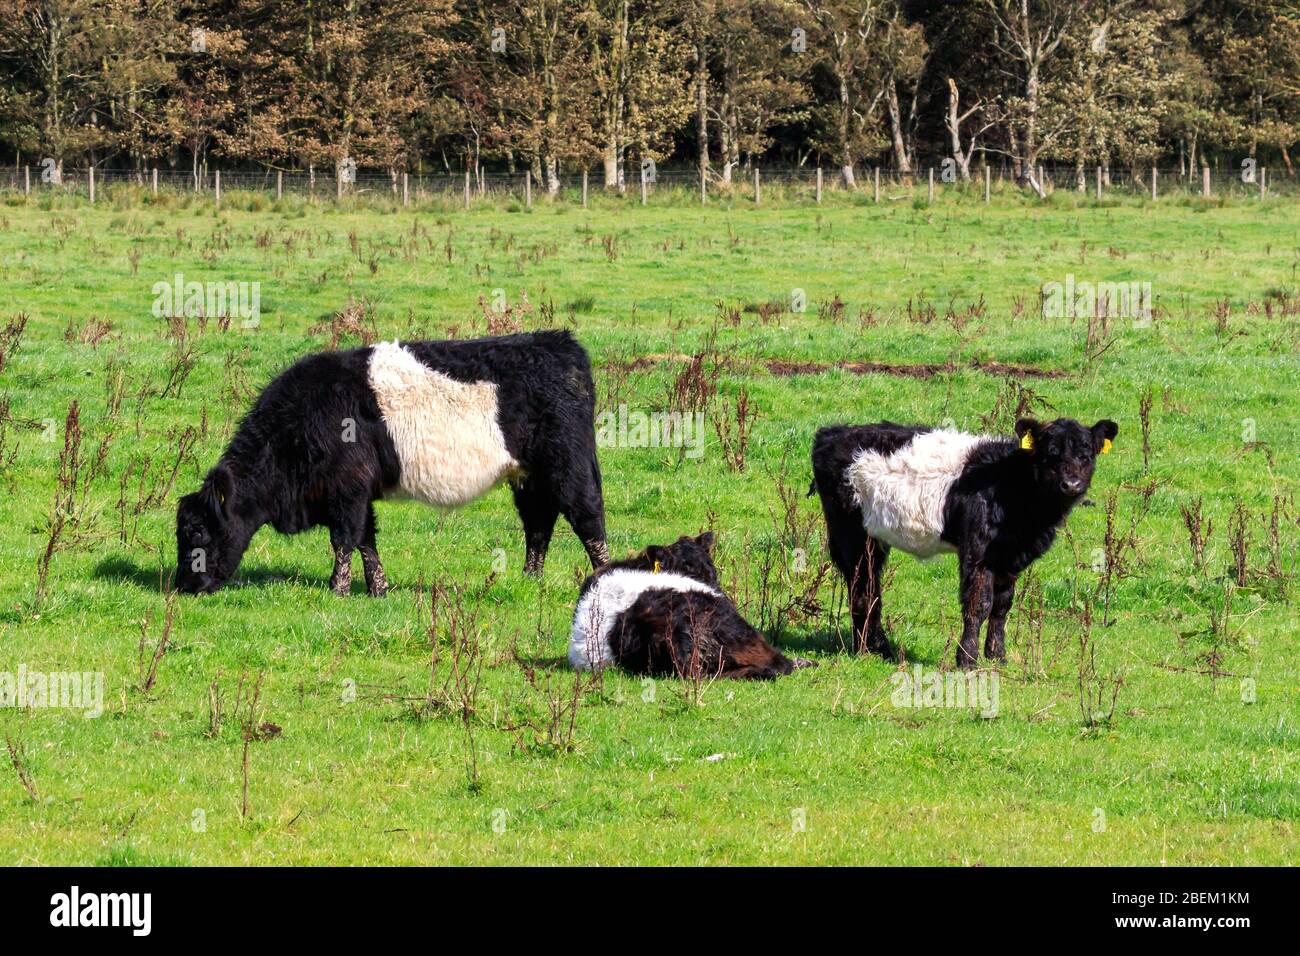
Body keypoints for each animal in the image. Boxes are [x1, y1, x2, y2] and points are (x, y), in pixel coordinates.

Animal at [174, 332, 613, 595]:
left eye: (197, 532)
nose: (183, 585)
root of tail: (558, 342)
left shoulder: (347, 490)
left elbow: (345, 539)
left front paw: (338, 589)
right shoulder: (357, 491)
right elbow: (367, 539)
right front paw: (378, 589)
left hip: (568, 466)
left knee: (587, 518)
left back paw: (603, 578)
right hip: (529, 477)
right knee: (538, 524)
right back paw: (529, 580)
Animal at [811, 416, 1118, 671]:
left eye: (1086, 454)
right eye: (1050, 453)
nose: (1071, 484)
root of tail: (831, 432)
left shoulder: (1010, 555)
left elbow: (1002, 605)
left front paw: (997, 656)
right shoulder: (978, 548)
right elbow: (978, 603)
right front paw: (968, 659)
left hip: (872, 538)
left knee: (869, 584)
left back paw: (876, 648)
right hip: (850, 532)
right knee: (861, 586)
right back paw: (869, 649)